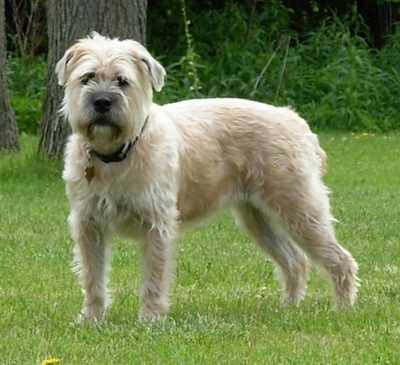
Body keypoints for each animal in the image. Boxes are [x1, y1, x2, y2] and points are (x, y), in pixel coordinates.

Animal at [56, 32, 360, 320]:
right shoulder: (89, 225)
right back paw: (289, 307)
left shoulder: (157, 225)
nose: (102, 102)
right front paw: (91, 318)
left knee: (340, 259)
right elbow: (93, 277)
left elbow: (153, 277)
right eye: (87, 77)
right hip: (257, 218)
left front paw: (150, 318)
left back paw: (342, 309)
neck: (116, 154)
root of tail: (298, 122)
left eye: (122, 81)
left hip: (299, 208)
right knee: (295, 261)